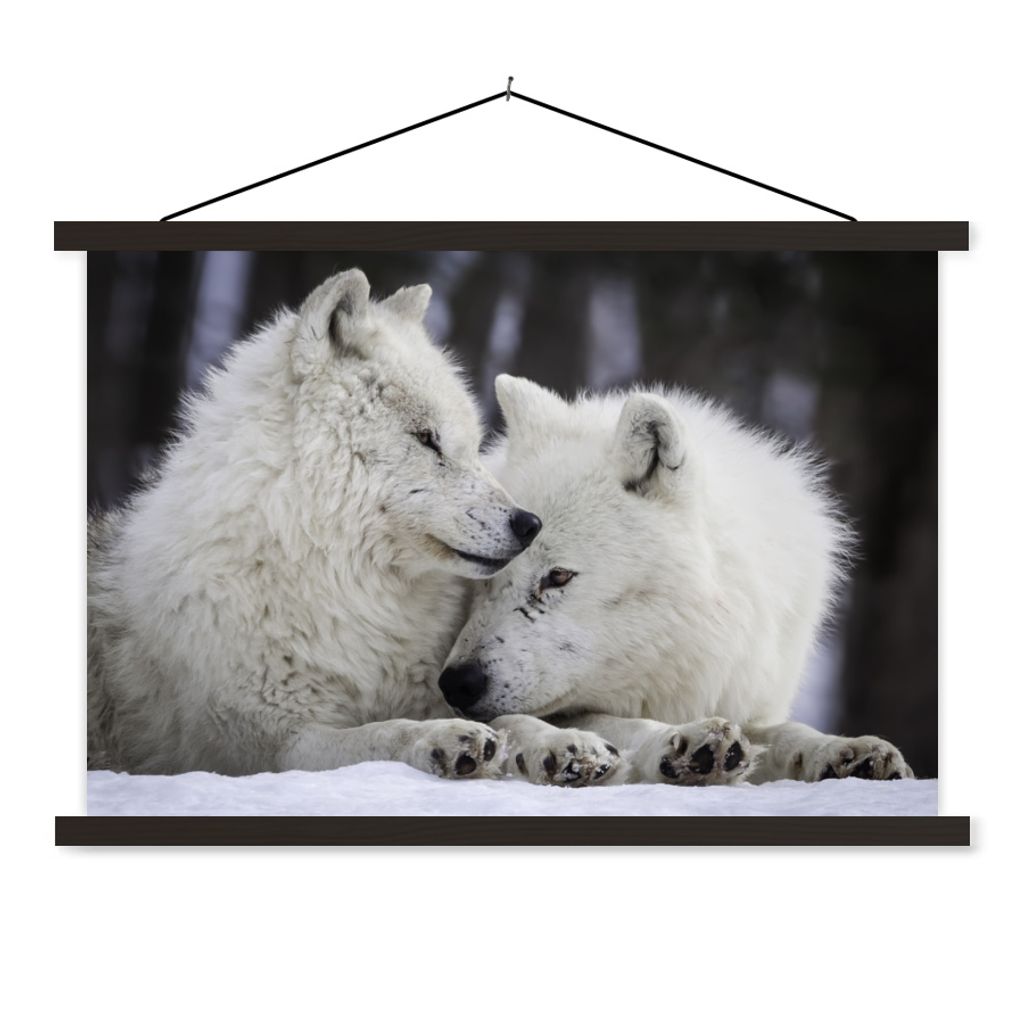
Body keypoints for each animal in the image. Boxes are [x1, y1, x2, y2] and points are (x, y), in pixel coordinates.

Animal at [88, 270, 544, 778]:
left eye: (473, 445)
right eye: (427, 439)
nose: (529, 524)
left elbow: (514, 718)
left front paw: (567, 746)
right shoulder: (269, 745)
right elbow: (380, 735)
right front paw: (440, 739)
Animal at [441, 375, 914, 787]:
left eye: (557, 576)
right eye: (485, 578)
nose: (456, 683)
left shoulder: (742, 695)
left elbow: (785, 732)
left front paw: (845, 751)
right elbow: (617, 724)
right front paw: (683, 743)